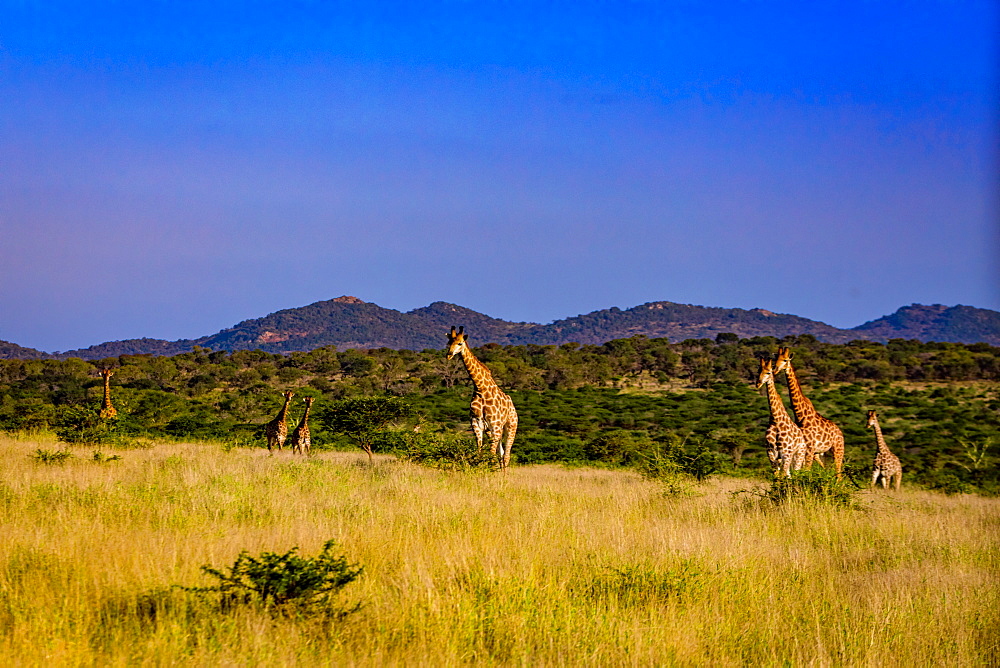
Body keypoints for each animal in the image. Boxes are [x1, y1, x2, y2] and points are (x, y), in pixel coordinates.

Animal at [448, 324, 520, 470]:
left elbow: (491, 454)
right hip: (491, 430)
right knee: (501, 453)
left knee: (506, 455)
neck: (480, 388)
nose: (449, 355)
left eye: (460, 343)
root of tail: (513, 406)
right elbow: (480, 451)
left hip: (510, 426)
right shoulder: (477, 424)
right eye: (449, 342)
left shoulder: (495, 425)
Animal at [772, 348, 844, 478]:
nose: (775, 370)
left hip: (837, 449)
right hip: (820, 453)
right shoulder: (805, 448)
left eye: (785, 360)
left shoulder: (809, 448)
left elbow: (805, 470)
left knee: (839, 474)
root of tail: (840, 432)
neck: (800, 414)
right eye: (776, 359)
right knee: (826, 468)